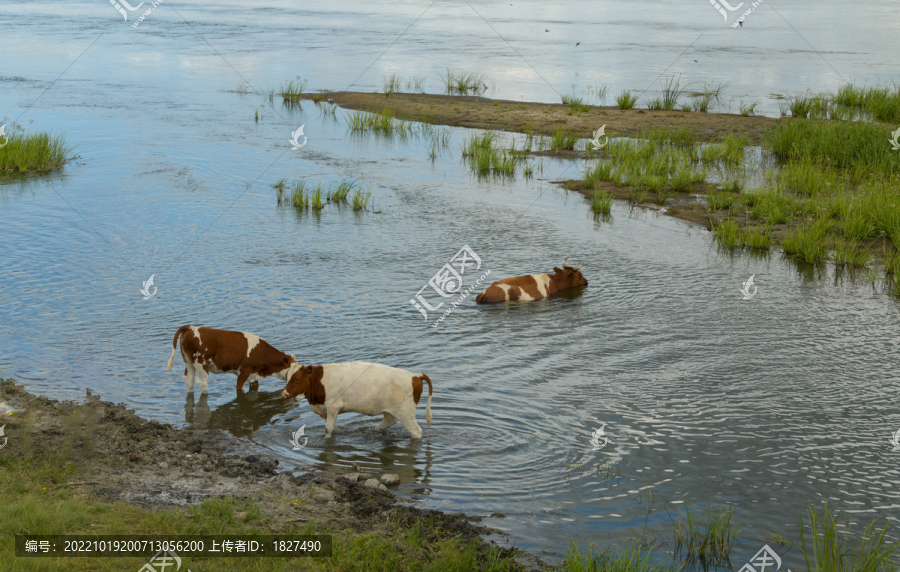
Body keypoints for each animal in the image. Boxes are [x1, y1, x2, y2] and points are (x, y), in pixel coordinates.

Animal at [163, 326, 298, 394]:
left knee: (188, 379)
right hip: (201, 363)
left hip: (188, 361)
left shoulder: (252, 375)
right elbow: (239, 388)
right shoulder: (245, 371)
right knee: (201, 382)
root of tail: (190, 327)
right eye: (294, 374)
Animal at [284, 362, 434, 438]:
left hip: (406, 413)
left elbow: (328, 428)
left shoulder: (333, 406)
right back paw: (373, 430)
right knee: (389, 420)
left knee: (416, 432)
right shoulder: (325, 409)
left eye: (297, 378)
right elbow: (332, 426)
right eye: (286, 377)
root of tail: (415, 375)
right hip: (390, 409)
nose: (284, 393)